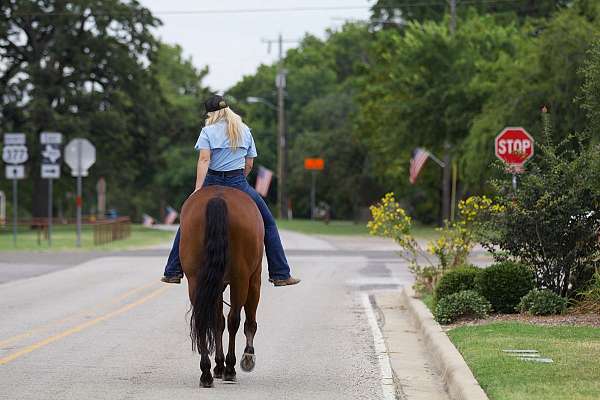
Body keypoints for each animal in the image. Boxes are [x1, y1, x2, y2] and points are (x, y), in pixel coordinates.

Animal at [178, 187, 262, 388]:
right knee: (234, 319)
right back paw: (230, 368)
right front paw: (247, 356)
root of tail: (218, 198)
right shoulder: (254, 278)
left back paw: (206, 373)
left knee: (204, 319)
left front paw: (218, 366)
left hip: (196, 280)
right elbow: (247, 321)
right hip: (241, 279)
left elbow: (217, 322)